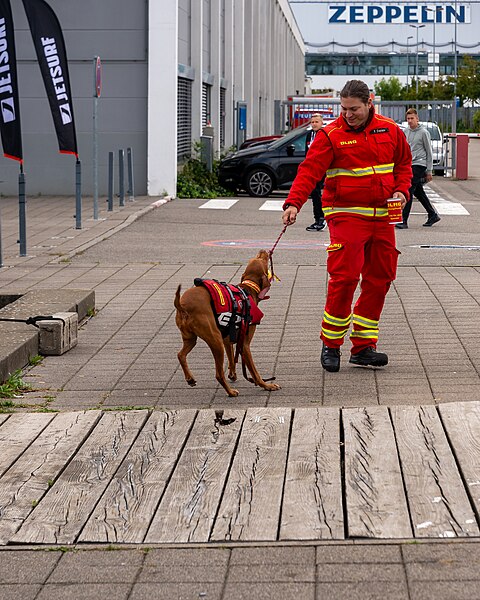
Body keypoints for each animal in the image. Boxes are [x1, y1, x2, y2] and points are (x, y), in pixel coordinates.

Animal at [174, 251, 282, 396]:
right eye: (262, 259)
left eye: (256, 257)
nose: (263, 251)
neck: (247, 290)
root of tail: (182, 305)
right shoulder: (244, 345)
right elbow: (255, 372)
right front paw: (266, 385)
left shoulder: (228, 338)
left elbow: (232, 358)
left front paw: (233, 374)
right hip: (215, 341)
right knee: (218, 374)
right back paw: (230, 392)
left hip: (191, 339)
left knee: (180, 355)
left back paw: (190, 378)